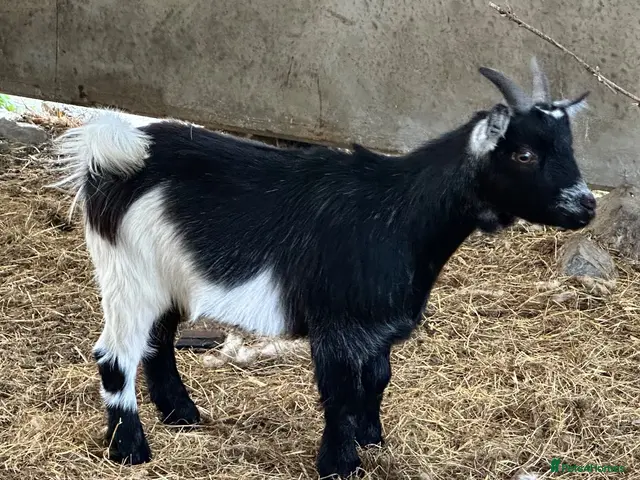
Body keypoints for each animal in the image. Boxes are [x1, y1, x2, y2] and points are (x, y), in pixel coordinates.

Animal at [51, 58, 595, 478]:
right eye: (523, 153)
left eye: (569, 147)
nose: (586, 206)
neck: (397, 213)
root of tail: (114, 154)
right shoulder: (338, 324)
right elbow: (339, 390)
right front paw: (340, 464)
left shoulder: (375, 328)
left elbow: (377, 377)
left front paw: (371, 439)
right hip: (129, 275)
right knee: (115, 354)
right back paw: (130, 450)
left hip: (170, 277)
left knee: (158, 342)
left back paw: (182, 415)